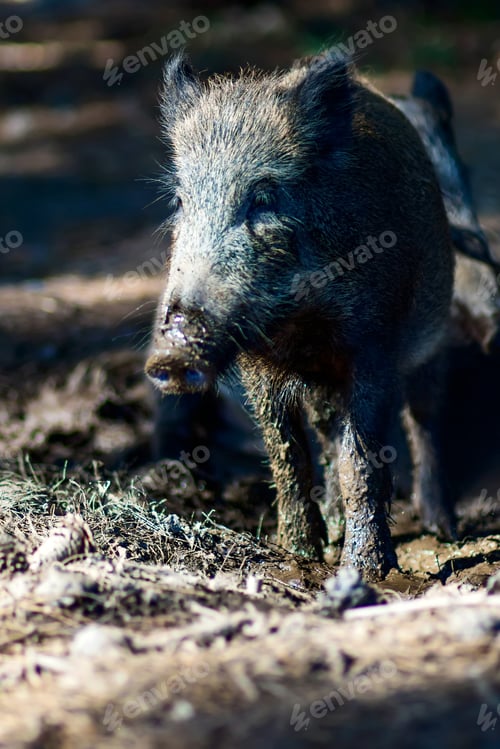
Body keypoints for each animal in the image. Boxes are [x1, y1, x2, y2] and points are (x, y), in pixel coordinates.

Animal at [146, 50, 456, 580]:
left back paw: (442, 528)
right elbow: (287, 455)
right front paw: (298, 554)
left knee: (424, 421)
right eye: (181, 200)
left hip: (431, 342)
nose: (169, 356)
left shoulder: (374, 343)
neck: (298, 323)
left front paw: (367, 570)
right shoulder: (258, 363)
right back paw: (331, 530)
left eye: (264, 198)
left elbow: (363, 458)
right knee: (326, 433)